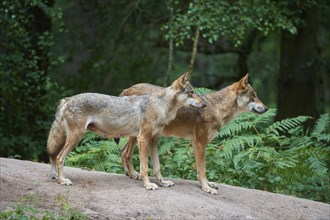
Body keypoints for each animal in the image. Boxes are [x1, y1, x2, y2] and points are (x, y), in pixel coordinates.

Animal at [46, 72, 206, 189]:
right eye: (192, 92)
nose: (205, 104)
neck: (161, 107)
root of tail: (68, 99)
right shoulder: (143, 139)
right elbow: (145, 167)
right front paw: (148, 185)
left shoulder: (154, 141)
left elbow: (157, 166)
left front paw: (163, 182)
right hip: (75, 138)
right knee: (59, 158)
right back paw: (62, 180)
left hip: (67, 138)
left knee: (54, 156)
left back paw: (55, 177)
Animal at [119, 74, 268, 194]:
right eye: (254, 95)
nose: (266, 108)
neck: (217, 108)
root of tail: (129, 88)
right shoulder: (199, 143)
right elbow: (202, 169)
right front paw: (206, 188)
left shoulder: (199, 144)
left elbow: (201, 169)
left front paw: (209, 184)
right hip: (137, 135)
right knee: (126, 153)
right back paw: (134, 175)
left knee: (122, 151)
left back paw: (130, 174)